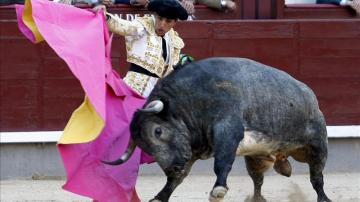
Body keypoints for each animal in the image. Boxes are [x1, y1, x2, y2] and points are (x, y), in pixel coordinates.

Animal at [102, 57, 330, 202]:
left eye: (158, 131)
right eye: (145, 148)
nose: (172, 167)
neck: (189, 101)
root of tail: (310, 94)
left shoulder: (228, 132)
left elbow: (222, 162)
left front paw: (218, 191)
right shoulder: (190, 149)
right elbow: (176, 180)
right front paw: (159, 197)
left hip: (317, 145)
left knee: (317, 177)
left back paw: (324, 198)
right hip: (257, 157)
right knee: (258, 180)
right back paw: (257, 199)